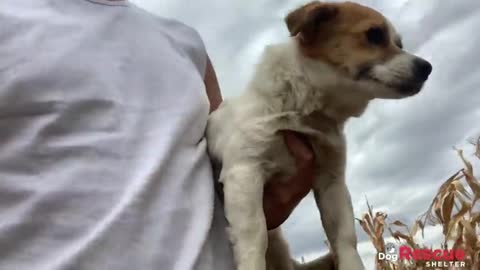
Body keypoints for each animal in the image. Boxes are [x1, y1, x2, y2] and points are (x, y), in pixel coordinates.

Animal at [205, 1, 432, 268]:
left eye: (399, 44)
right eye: (374, 34)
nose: (427, 67)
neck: (305, 113)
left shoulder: (331, 179)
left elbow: (344, 237)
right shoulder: (245, 171)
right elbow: (254, 236)